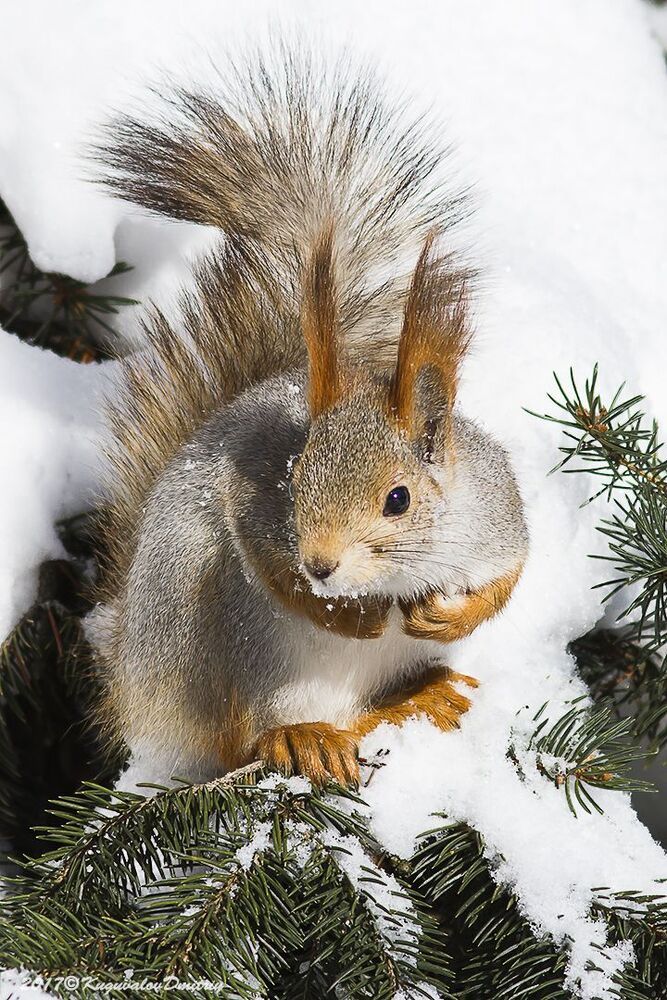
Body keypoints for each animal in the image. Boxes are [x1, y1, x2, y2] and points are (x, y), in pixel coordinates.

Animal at [87, 48, 529, 786]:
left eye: (399, 499)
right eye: (293, 483)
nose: (321, 566)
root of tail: (138, 687)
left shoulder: (493, 512)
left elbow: (508, 578)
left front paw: (452, 617)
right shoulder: (255, 513)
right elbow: (269, 566)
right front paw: (348, 617)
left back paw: (422, 694)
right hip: (223, 637)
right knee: (249, 737)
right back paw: (306, 736)